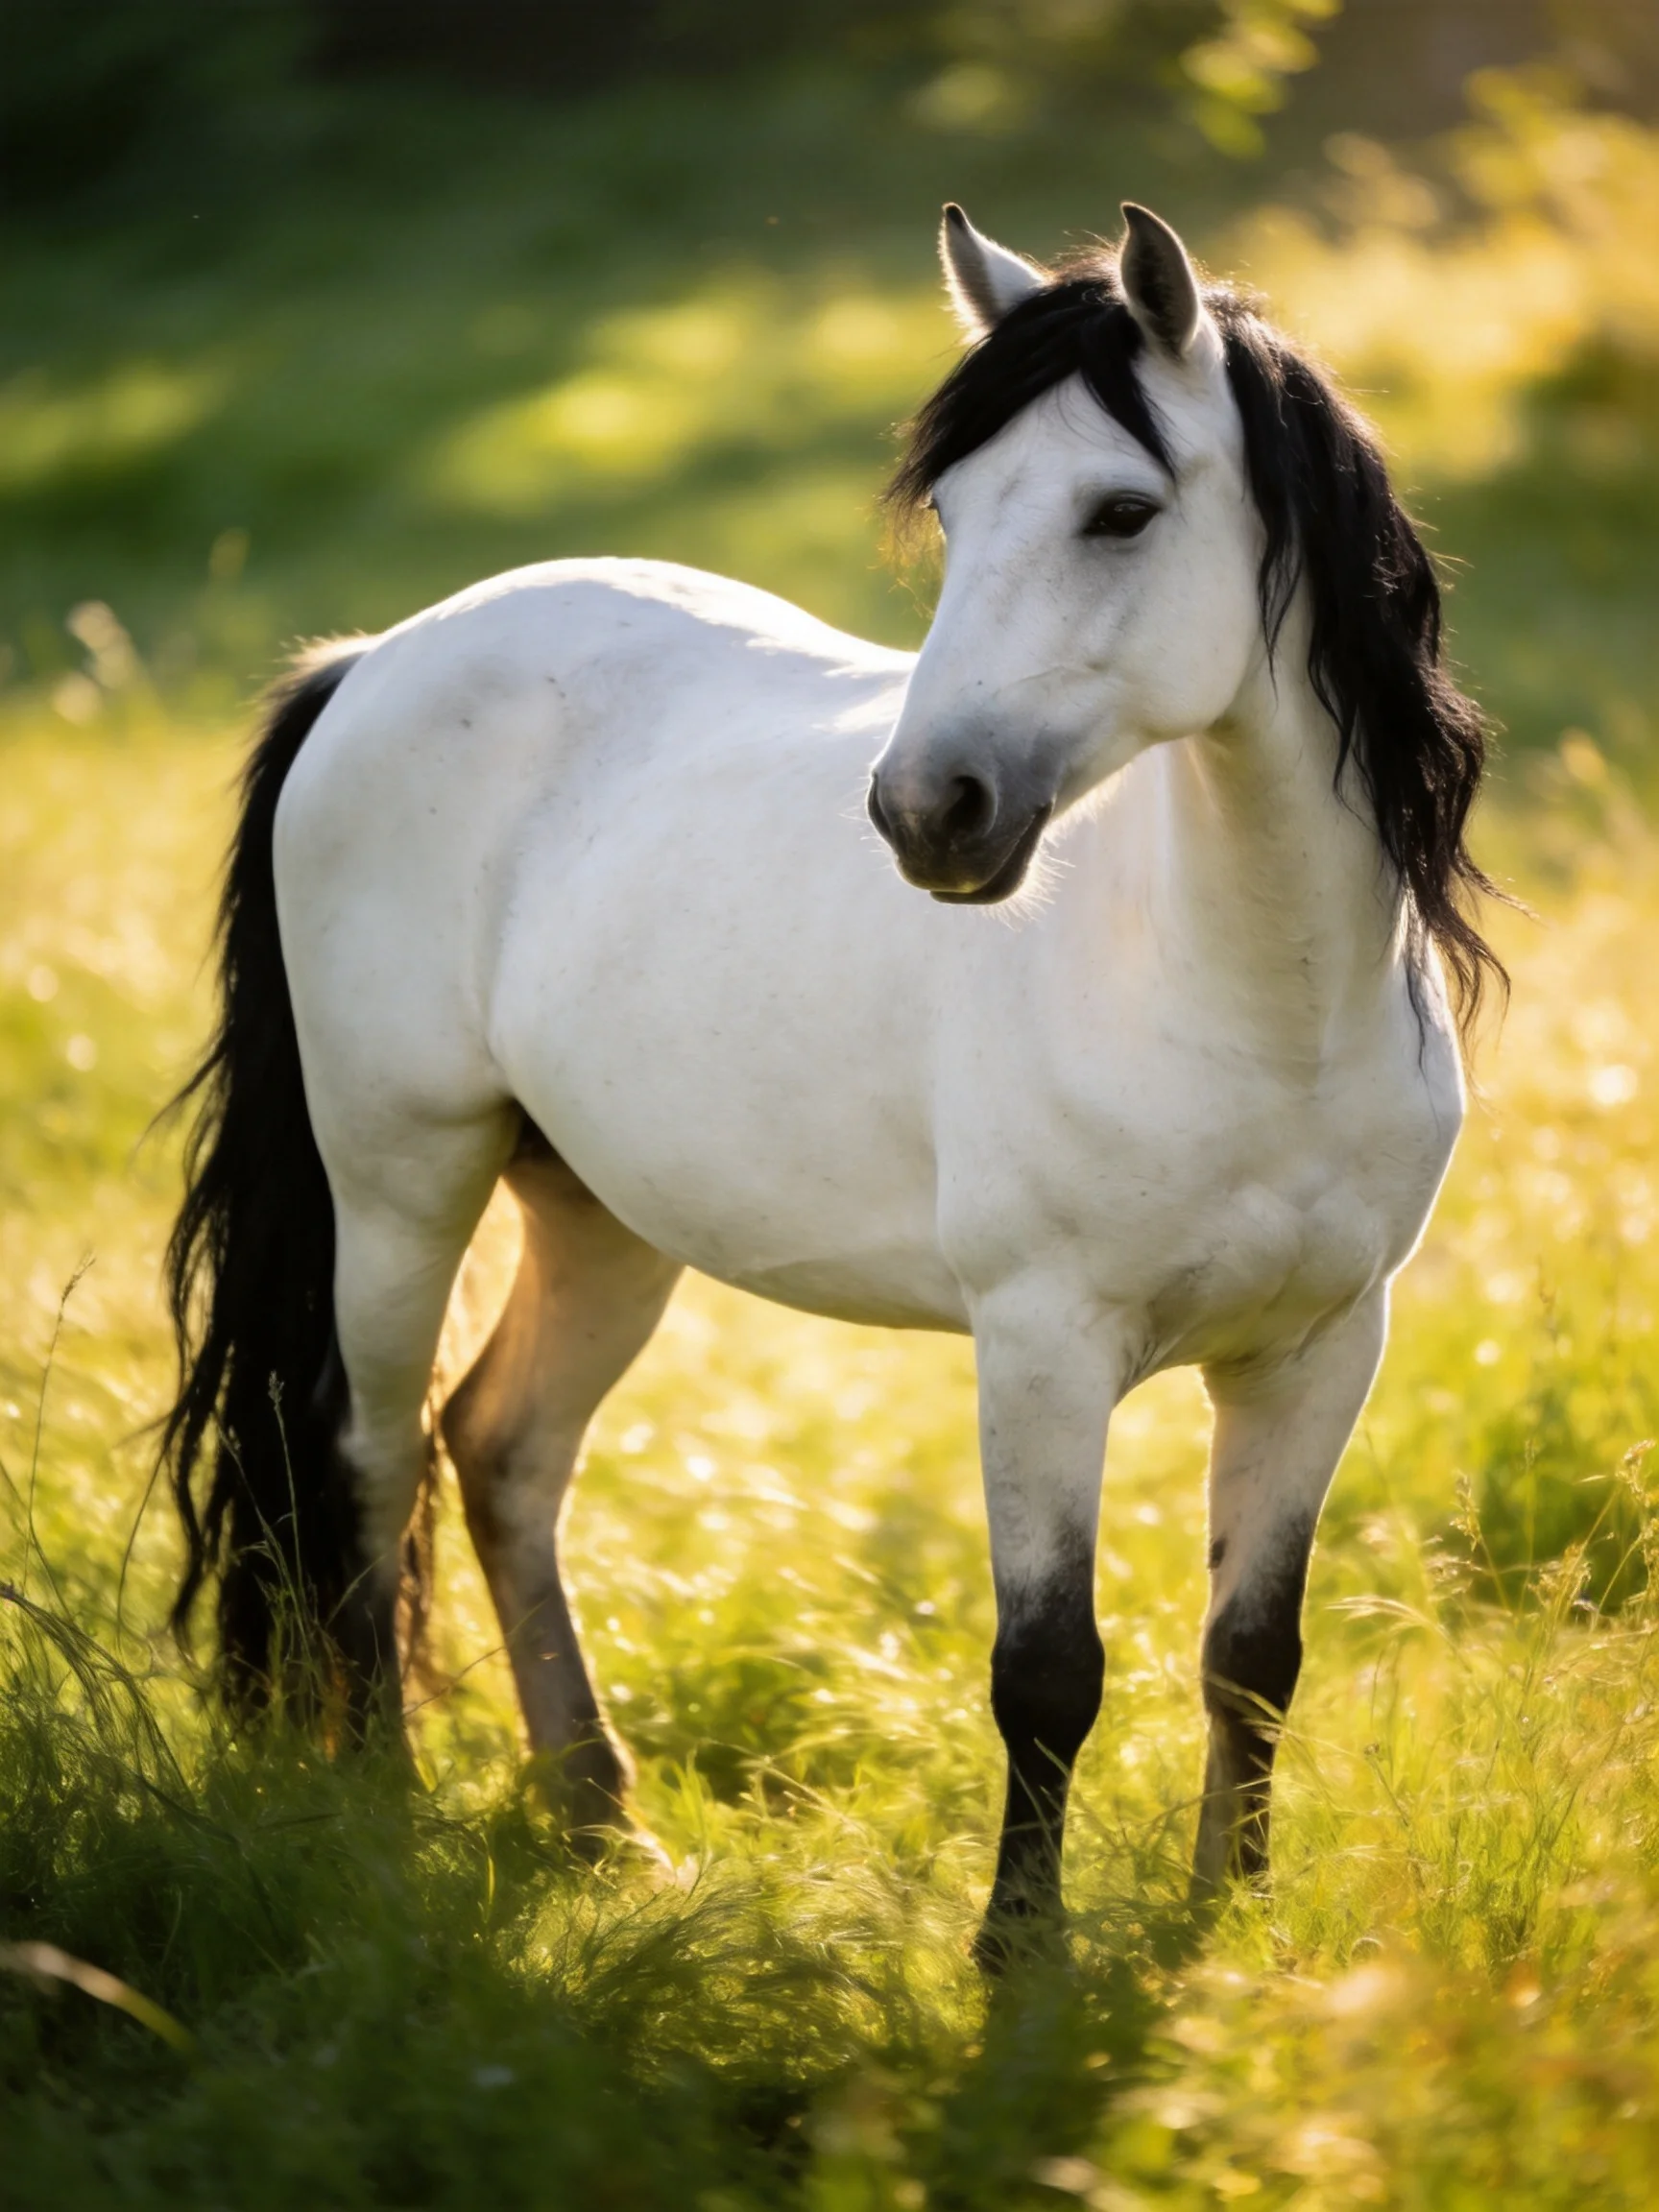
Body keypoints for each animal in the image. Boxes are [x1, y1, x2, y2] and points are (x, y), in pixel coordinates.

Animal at [161, 201, 1500, 1961]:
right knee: (365, 1463)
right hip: (400, 1187)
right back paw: (389, 1810)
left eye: (1120, 511)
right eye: (953, 509)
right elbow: (1047, 1670)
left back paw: (604, 1826)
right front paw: (1019, 1962)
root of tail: (375, 659)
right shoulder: (1041, 1345)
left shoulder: (1321, 1347)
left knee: (500, 1450)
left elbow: (1251, 1659)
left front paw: (1231, 1930)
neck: (1240, 1000)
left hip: (599, 1217)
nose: (930, 812)